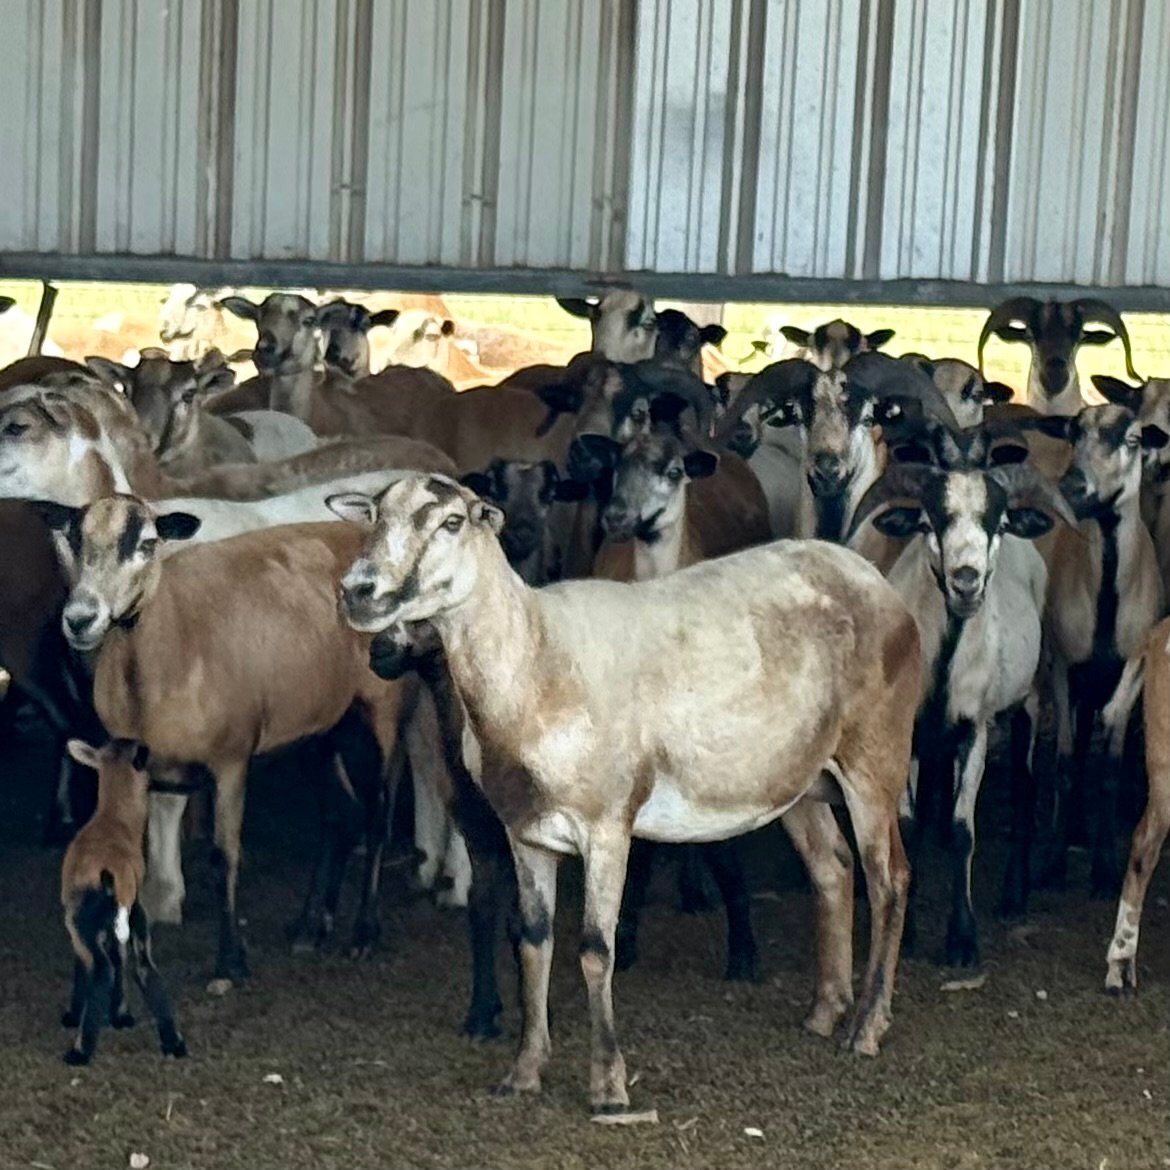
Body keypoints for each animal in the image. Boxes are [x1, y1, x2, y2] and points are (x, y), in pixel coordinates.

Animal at [42, 496, 416, 986]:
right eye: (74, 539)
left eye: (147, 544)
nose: (81, 619)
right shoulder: (134, 770)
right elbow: (129, 857)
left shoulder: (231, 762)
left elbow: (225, 859)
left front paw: (230, 961)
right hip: (318, 728)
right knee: (341, 815)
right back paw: (311, 926)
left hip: (385, 709)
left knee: (376, 818)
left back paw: (364, 932)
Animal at [59, 737, 186, 1064]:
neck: (114, 820)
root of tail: (110, 872)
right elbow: (121, 958)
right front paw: (121, 1015)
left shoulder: (76, 921)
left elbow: (83, 965)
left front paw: (75, 1014)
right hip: (136, 917)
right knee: (144, 967)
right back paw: (173, 1042)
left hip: (89, 920)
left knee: (101, 969)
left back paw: (79, 1050)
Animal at [334, 472, 920, 1114]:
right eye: (373, 516)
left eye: (452, 522)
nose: (357, 591)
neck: (538, 659)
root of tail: (872, 579)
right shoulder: (525, 831)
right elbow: (532, 941)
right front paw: (524, 1071)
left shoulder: (607, 824)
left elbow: (595, 948)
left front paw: (609, 1087)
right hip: (797, 779)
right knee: (833, 869)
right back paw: (825, 1011)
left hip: (876, 755)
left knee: (889, 880)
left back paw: (867, 1028)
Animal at [850, 460, 1072, 964]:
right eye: (928, 523)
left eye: (1000, 524)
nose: (966, 579)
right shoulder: (907, 731)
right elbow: (909, 826)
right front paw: (908, 931)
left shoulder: (975, 730)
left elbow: (961, 830)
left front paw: (963, 940)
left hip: (1028, 697)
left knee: (1025, 786)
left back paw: (1014, 894)